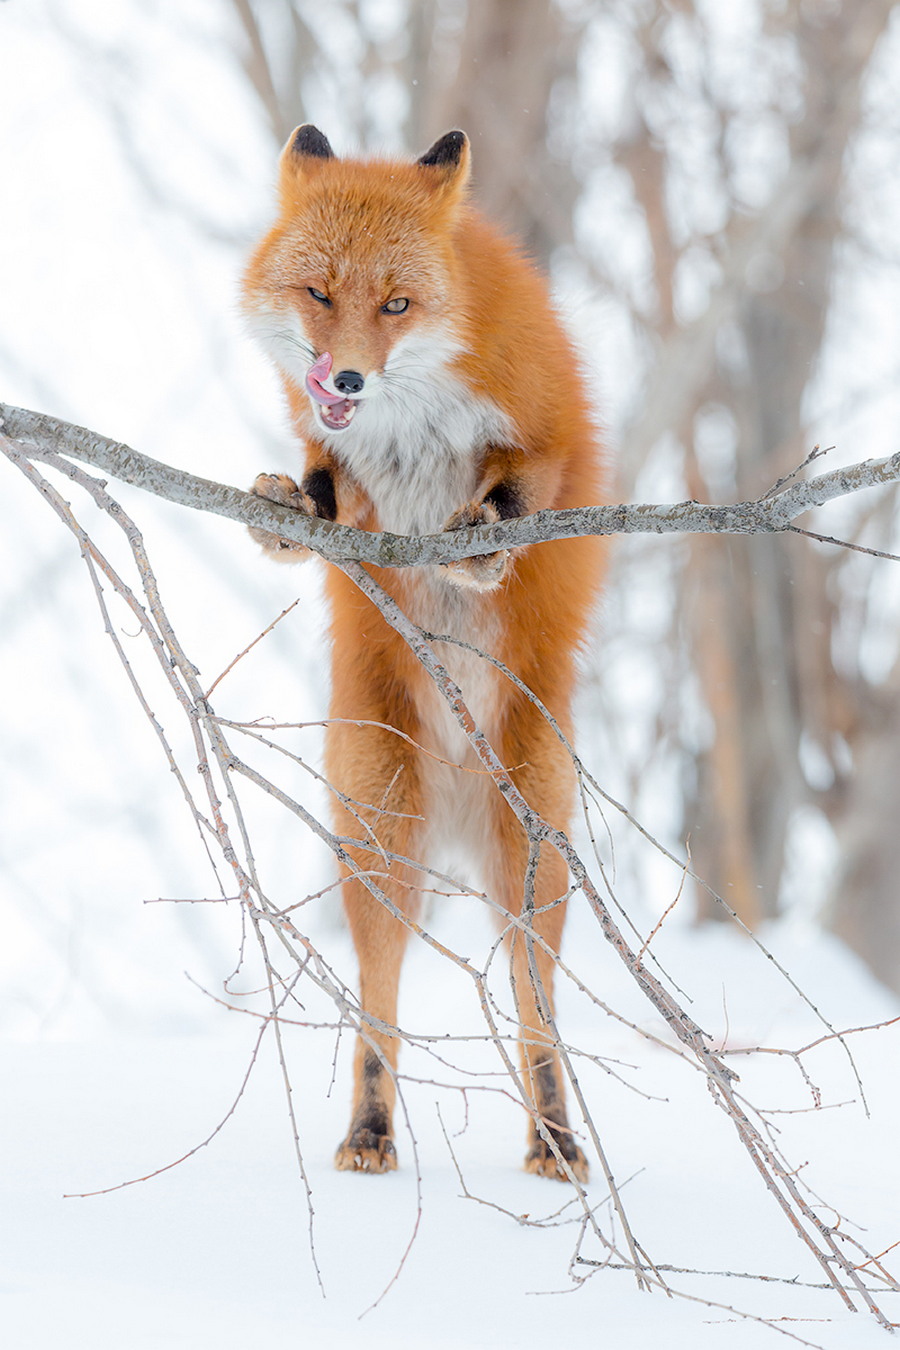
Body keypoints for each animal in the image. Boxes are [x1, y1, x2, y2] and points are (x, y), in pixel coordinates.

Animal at [242, 126, 604, 1182]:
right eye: (319, 293)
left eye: (397, 305)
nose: (346, 380)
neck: (412, 419)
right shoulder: (346, 470)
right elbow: (328, 496)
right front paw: (289, 512)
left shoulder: (551, 425)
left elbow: (524, 489)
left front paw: (482, 546)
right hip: (378, 835)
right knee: (380, 1003)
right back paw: (369, 1130)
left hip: (532, 861)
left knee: (535, 1012)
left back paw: (555, 1137)